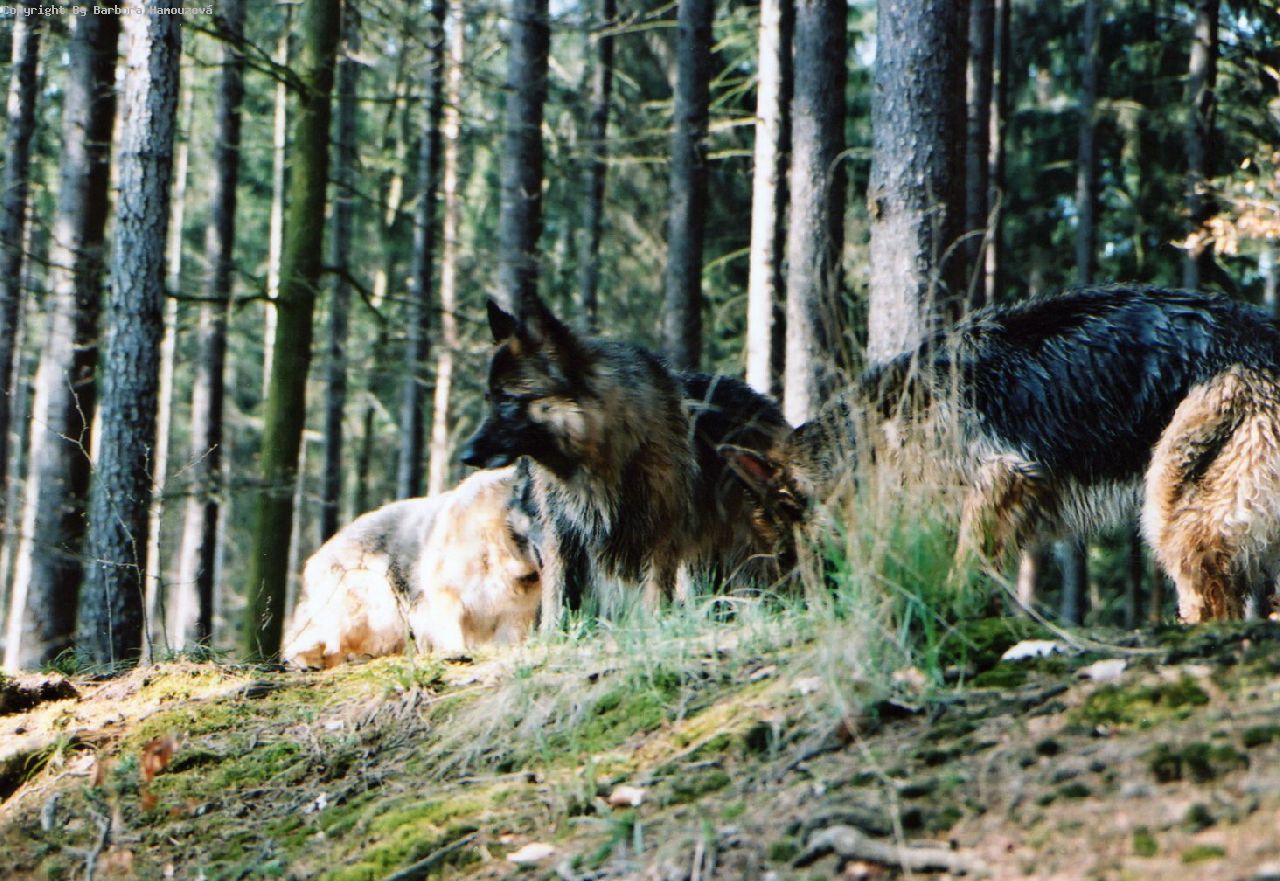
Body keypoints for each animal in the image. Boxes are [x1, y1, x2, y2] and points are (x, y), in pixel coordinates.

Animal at [282, 466, 541, 668]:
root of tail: (319, 553)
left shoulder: (514, 615)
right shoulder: (445, 598)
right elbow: (450, 628)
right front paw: (455, 653)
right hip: (372, 592)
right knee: (313, 643)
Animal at [460, 296, 791, 626]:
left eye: (507, 399)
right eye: (489, 399)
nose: (465, 455)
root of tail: (765, 405)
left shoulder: (659, 539)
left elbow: (654, 597)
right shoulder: (561, 540)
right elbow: (557, 604)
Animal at [722, 286, 1280, 623]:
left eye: (781, 549)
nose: (771, 609)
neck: (871, 441)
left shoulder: (1000, 482)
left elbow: (965, 565)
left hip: (1177, 514)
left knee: (1212, 597)